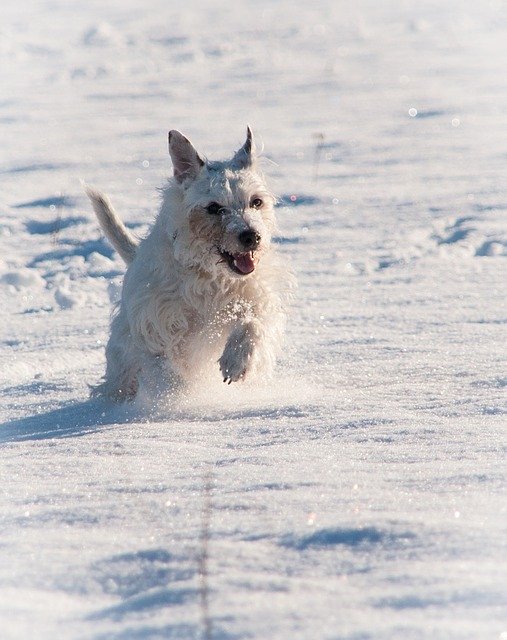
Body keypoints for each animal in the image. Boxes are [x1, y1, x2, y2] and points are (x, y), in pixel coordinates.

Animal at [86, 127, 294, 402]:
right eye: (214, 207)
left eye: (256, 202)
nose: (251, 236)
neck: (208, 274)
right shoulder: (156, 324)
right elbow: (164, 367)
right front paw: (177, 397)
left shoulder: (255, 297)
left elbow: (252, 321)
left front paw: (236, 362)